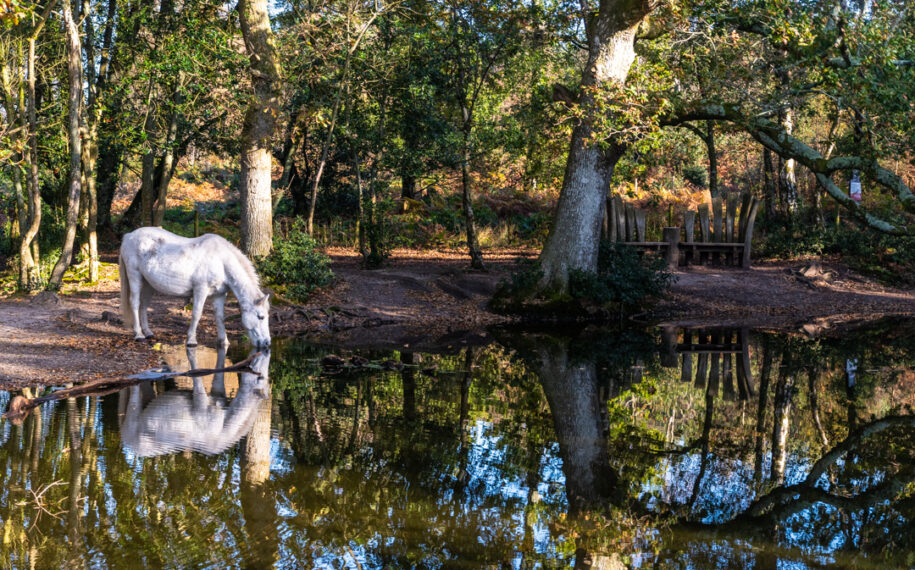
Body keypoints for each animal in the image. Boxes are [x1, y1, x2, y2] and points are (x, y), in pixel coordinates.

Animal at [117, 226, 272, 346]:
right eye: (261, 317)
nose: (267, 343)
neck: (221, 261)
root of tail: (129, 236)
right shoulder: (200, 290)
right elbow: (197, 313)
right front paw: (191, 339)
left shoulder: (219, 295)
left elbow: (220, 316)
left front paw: (224, 341)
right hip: (135, 276)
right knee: (135, 303)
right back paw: (139, 334)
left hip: (149, 284)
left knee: (143, 305)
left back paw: (148, 332)